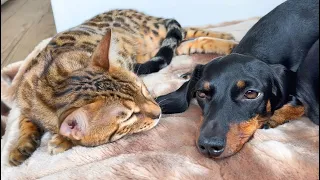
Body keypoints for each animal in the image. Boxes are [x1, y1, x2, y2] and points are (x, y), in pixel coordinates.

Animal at [8, 9, 238, 165]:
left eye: (144, 90)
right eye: (129, 116)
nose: (159, 113)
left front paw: (61, 140)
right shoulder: (25, 99)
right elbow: (25, 122)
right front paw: (21, 146)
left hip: (154, 31)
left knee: (185, 30)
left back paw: (228, 40)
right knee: (185, 38)